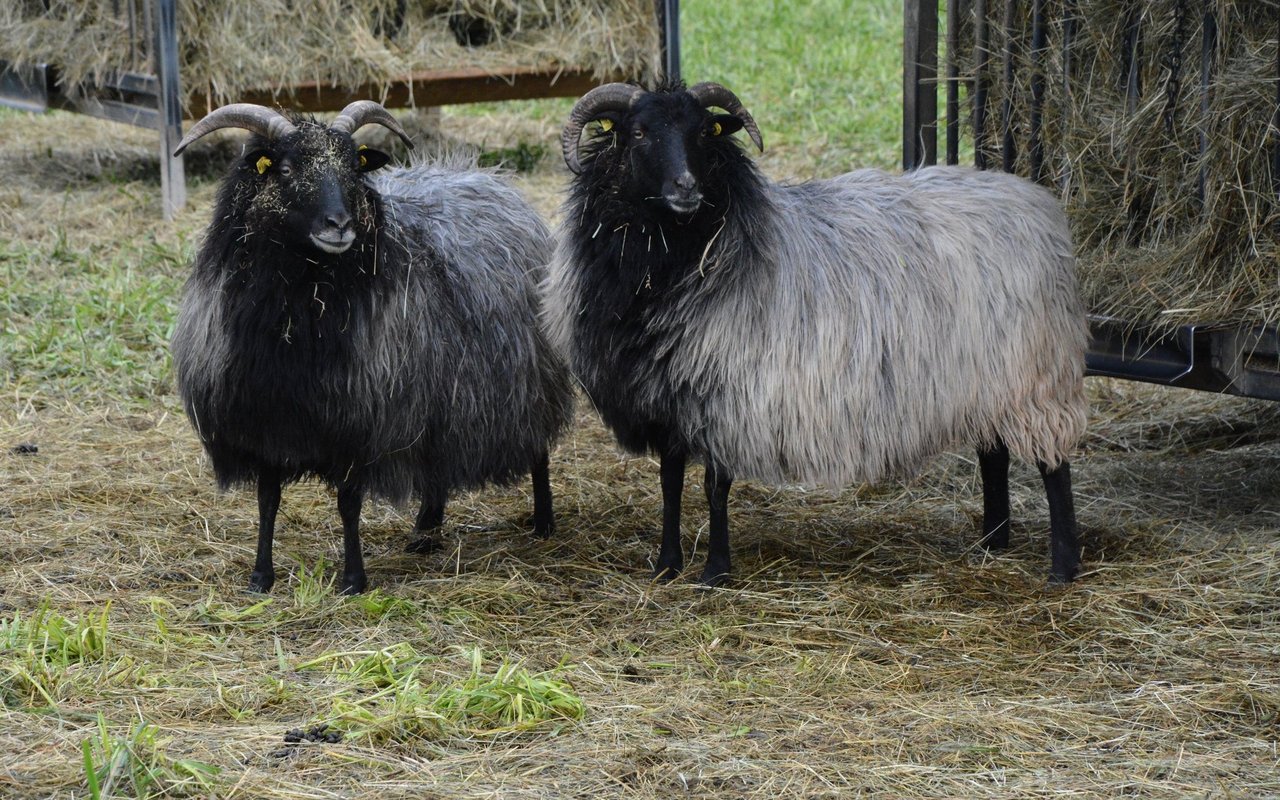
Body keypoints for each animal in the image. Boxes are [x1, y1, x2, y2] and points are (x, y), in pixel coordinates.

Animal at [172, 99, 573, 588]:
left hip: (527, 376)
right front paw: (261, 576)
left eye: (353, 167)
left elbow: (348, 504)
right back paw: (425, 530)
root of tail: (492, 180)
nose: (340, 224)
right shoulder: (264, 418)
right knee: (436, 462)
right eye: (284, 168)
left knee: (538, 449)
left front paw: (353, 579)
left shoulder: (361, 421)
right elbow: (268, 500)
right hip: (441, 395)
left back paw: (543, 520)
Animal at [547, 81, 1090, 586]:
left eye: (704, 132)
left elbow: (715, 489)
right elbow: (670, 483)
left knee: (1054, 467)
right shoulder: (665, 398)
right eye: (637, 132)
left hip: (1036, 375)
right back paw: (992, 542)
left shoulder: (728, 392)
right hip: (988, 377)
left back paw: (1062, 566)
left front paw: (716, 571)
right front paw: (666, 565)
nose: (686, 188)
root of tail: (1036, 201)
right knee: (993, 454)